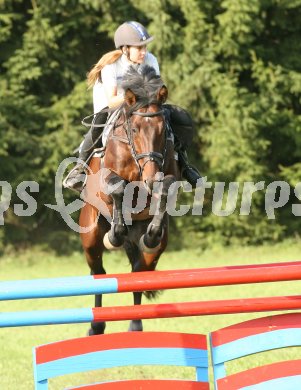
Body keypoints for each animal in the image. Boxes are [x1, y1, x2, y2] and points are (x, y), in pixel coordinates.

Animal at [78, 64, 179, 336]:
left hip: (155, 248)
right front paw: (115, 234)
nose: (150, 177)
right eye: (134, 129)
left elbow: (165, 189)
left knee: (138, 272)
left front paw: (150, 234)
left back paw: (135, 324)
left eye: (163, 130)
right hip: (90, 237)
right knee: (99, 273)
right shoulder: (106, 182)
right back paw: (96, 326)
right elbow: (118, 189)